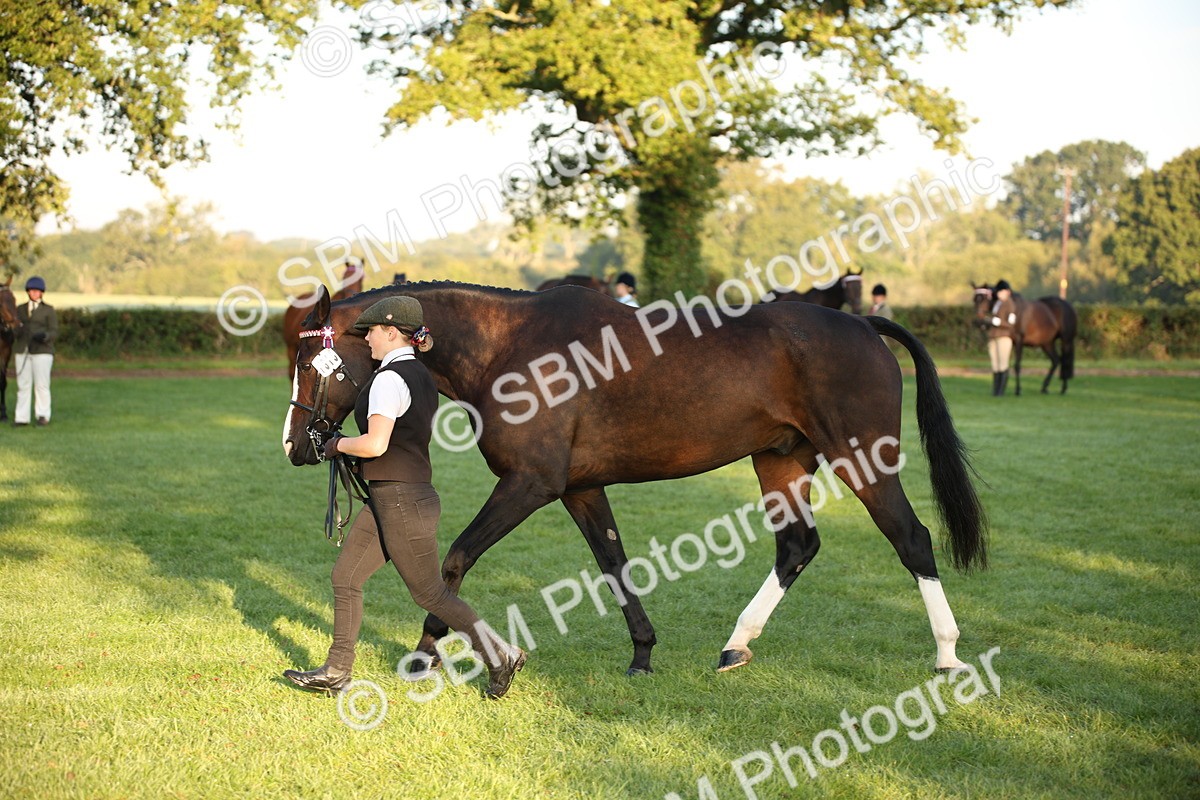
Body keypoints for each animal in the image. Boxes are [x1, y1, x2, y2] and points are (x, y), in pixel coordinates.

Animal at [282, 281, 987, 678]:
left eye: (312, 362)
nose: (296, 445)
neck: (511, 347)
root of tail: (863, 323)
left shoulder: (529, 484)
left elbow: (453, 560)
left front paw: (427, 651)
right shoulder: (579, 489)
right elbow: (614, 564)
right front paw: (644, 654)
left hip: (864, 458)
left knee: (912, 539)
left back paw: (948, 655)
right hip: (781, 461)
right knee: (798, 546)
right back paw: (735, 647)